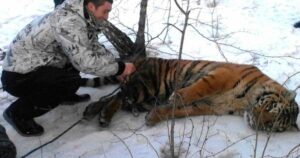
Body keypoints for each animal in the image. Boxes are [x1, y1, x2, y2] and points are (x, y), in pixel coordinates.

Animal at [82, 57, 300, 132]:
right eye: (271, 107)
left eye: (273, 125)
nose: (256, 122)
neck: (243, 104)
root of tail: (142, 58)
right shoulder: (221, 75)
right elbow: (198, 89)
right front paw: (177, 97)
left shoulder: (209, 106)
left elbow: (176, 111)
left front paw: (153, 117)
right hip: (146, 86)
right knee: (120, 96)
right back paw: (102, 116)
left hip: (147, 98)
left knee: (114, 98)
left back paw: (93, 111)